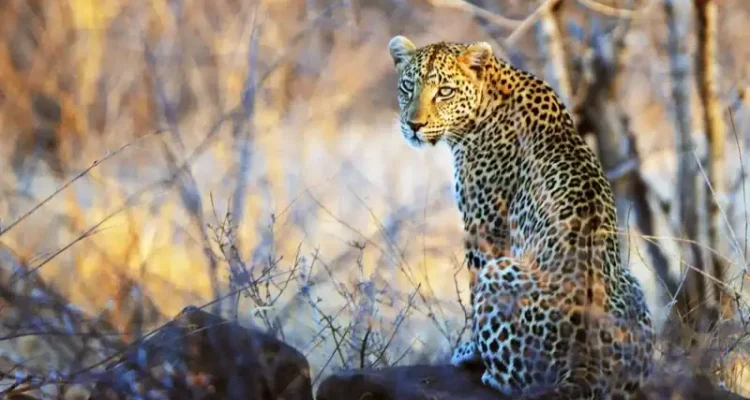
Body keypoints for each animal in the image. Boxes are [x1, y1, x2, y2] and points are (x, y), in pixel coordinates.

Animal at [388, 36, 654, 399]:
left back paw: (487, 372)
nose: (414, 126)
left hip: (500, 273)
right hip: (632, 285)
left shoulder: (484, 228)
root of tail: (583, 365)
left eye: (444, 91)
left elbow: (473, 291)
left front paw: (469, 350)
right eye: (407, 86)